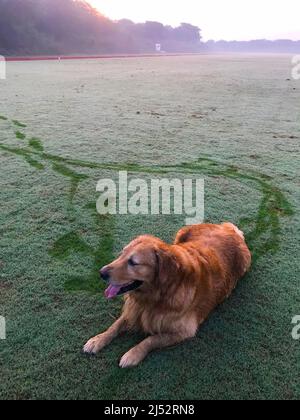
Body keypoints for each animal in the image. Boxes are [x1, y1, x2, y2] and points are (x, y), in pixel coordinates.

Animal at [83, 223, 252, 368]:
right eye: (121, 254)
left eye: (133, 262)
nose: (101, 272)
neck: (159, 293)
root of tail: (229, 228)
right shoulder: (134, 309)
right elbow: (115, 325)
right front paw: (98, 339)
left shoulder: (184, 330)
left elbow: (151, 339)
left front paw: (133, 354)